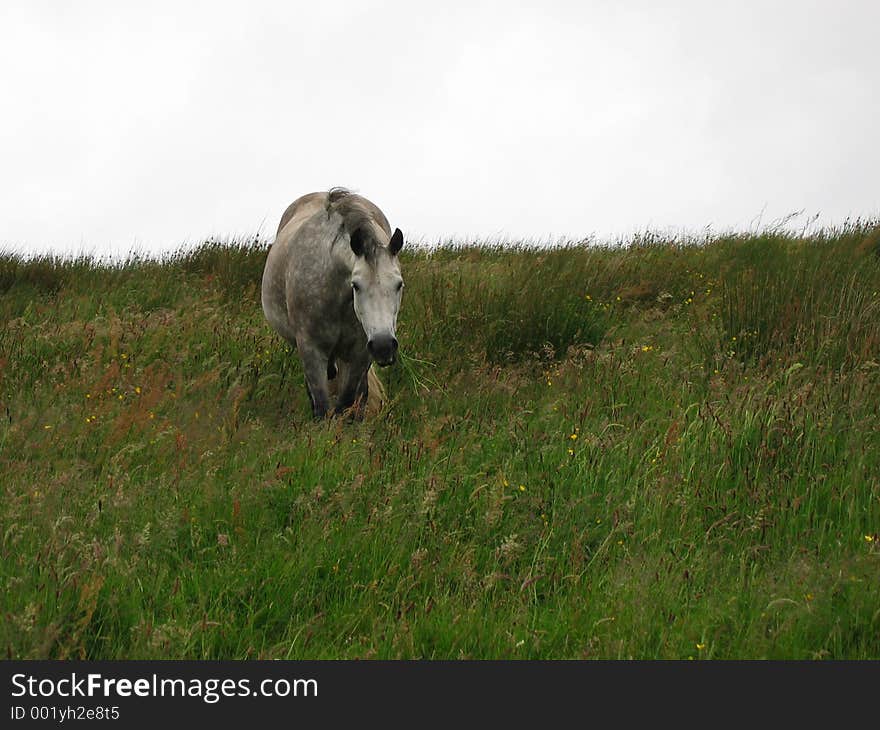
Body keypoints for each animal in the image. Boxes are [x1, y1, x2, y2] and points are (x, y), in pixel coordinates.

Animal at [258, 188, 402, 416]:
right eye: (356, 285)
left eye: (399, 284)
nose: (383, 346)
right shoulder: (311, 351)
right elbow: (322, 408)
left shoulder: (359, 354)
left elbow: (347, 404)